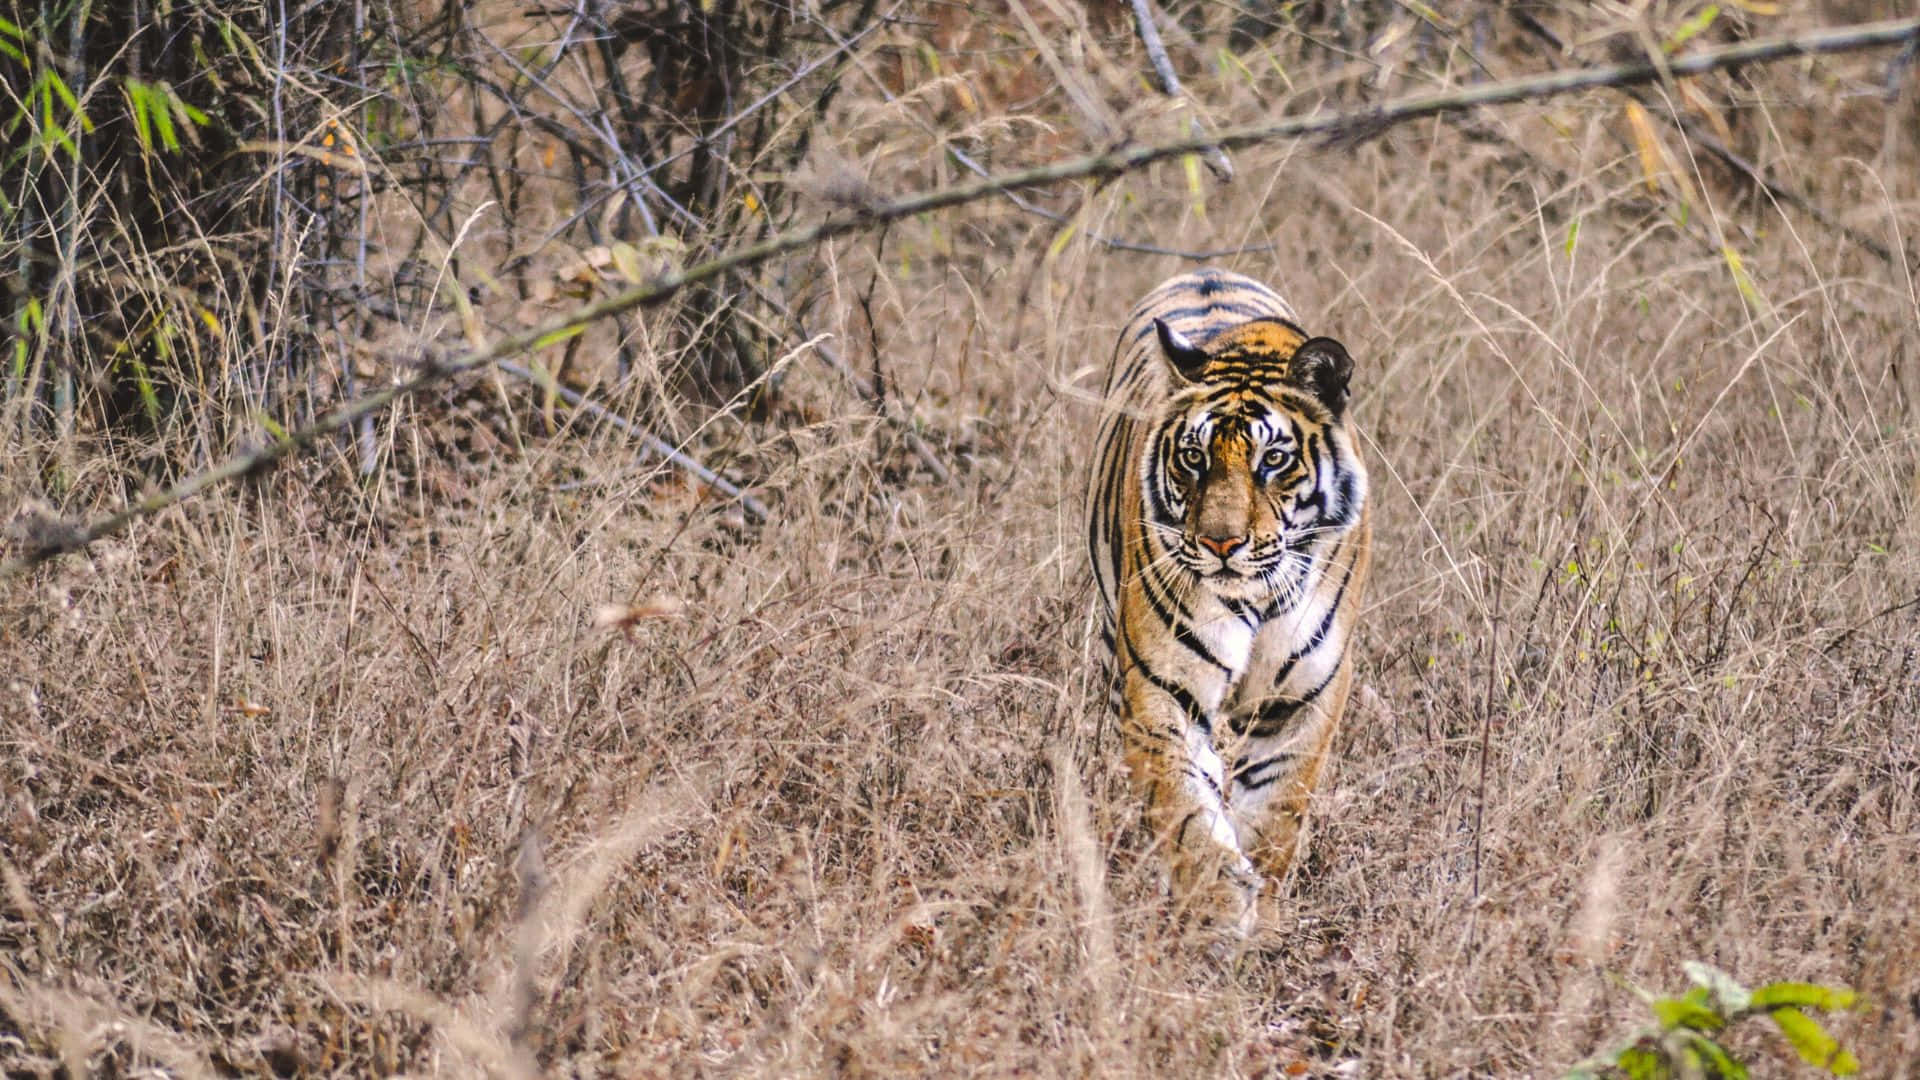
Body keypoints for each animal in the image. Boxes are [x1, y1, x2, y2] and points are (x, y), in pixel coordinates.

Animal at [1085, 267, 1371, 935]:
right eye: (1194, 457)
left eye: (1274, 460)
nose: (1220, 543)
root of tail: (1204, 271)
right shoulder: (1162, 690)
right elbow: (1186, 811)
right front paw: (1216, 905)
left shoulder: (1302, 701)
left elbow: (1275, 814)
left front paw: (1260, 915)